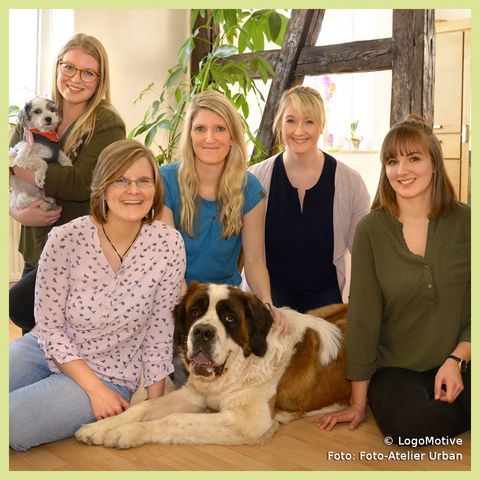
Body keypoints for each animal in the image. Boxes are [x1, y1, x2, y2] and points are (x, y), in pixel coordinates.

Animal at [75, 282, 351, 448]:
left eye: (229, 318)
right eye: (195, 312)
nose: (203, 332)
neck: (239, 366)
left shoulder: (248, 421)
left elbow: (175, 420)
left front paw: (125, 433)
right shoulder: (193, 395)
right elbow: (144, 407)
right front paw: (99, 427)